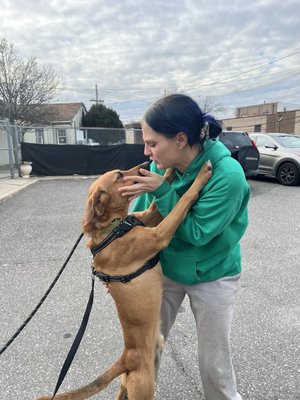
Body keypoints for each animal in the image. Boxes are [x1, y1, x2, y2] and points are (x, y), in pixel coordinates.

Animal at [37, 160, 211, 400]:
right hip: (145, 388)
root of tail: (126, 359)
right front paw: (202, 174)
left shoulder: (148, 216)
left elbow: (163, 191)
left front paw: (168, 171)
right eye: (119, 175)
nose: (147, 162)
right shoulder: (159, 234)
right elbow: (183, 200)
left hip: (126, 386)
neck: (114, 229)